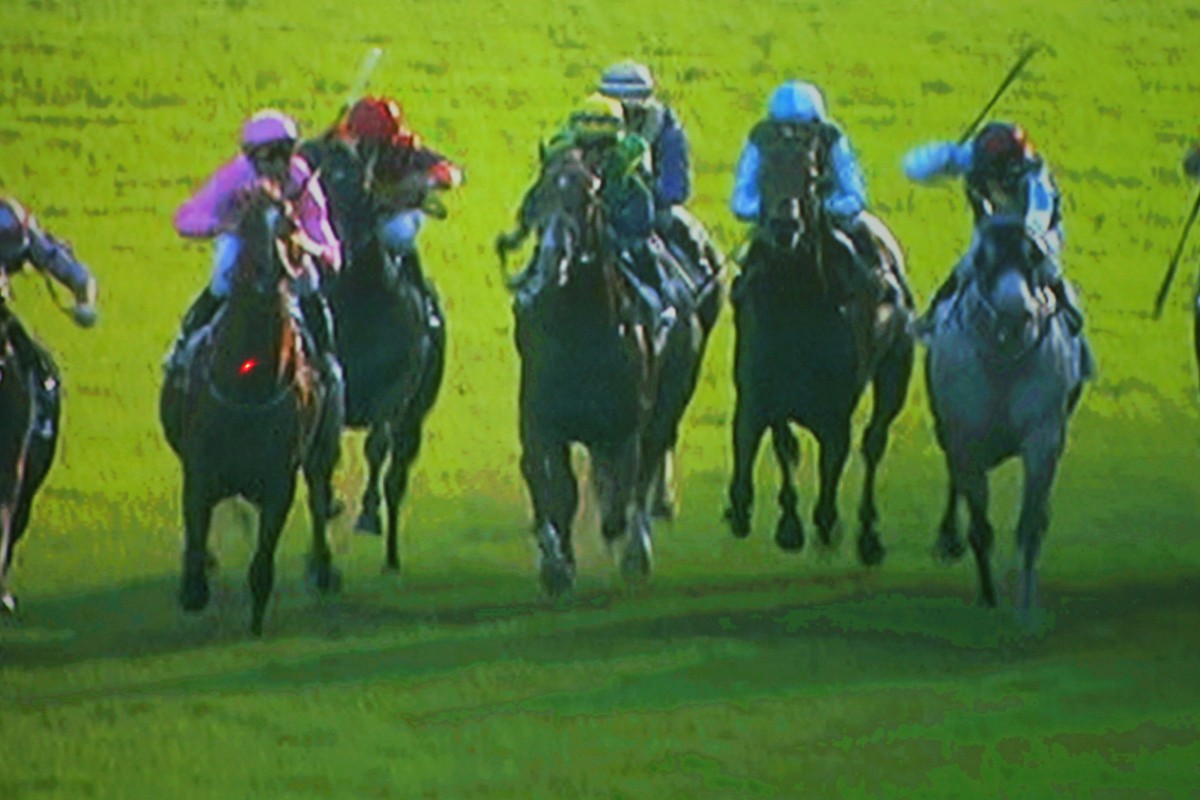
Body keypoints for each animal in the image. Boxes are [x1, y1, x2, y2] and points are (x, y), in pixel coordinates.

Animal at [159, 189, 343, 638]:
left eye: (289, 224)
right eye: (243, 221)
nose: (262, 272)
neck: (249, 384)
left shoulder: (280, 481)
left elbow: (263, 561)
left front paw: (258, 615)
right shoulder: (200, 470)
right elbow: (196, 528)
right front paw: (194, 584)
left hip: (322, 450)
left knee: (319, 495)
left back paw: (324, 569)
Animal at [501, 148, 705, 594]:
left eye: (587, 198)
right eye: (539, 194)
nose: (554, 255)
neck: (580, 332)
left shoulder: (625, 427)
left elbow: (620, 494)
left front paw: (621, 548)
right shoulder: (541, 422)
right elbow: (556, 489)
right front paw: (556, 564)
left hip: (668, 405)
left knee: (645, 472)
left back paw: (636, 551)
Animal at [724, 123, 912, 563]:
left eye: (811, 176)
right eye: (763, 172)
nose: (784, 226)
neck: (796, 304)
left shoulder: (835, 415)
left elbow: (830, 481)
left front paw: (824, 525)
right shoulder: (758, 394)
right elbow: (764, 444)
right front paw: (772, 518)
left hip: (896, 370)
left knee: (874, 441)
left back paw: (869, 534)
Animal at [921, 217, 1094, 618]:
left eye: (1034, 257)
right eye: (983, 260)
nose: (1016, 316)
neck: (1003, 363)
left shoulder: (1043, 438)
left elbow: (1030, 523)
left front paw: (1026, 606)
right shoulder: (965, 438)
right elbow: (980, 527)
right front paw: (988, 597)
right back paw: (948, 538)